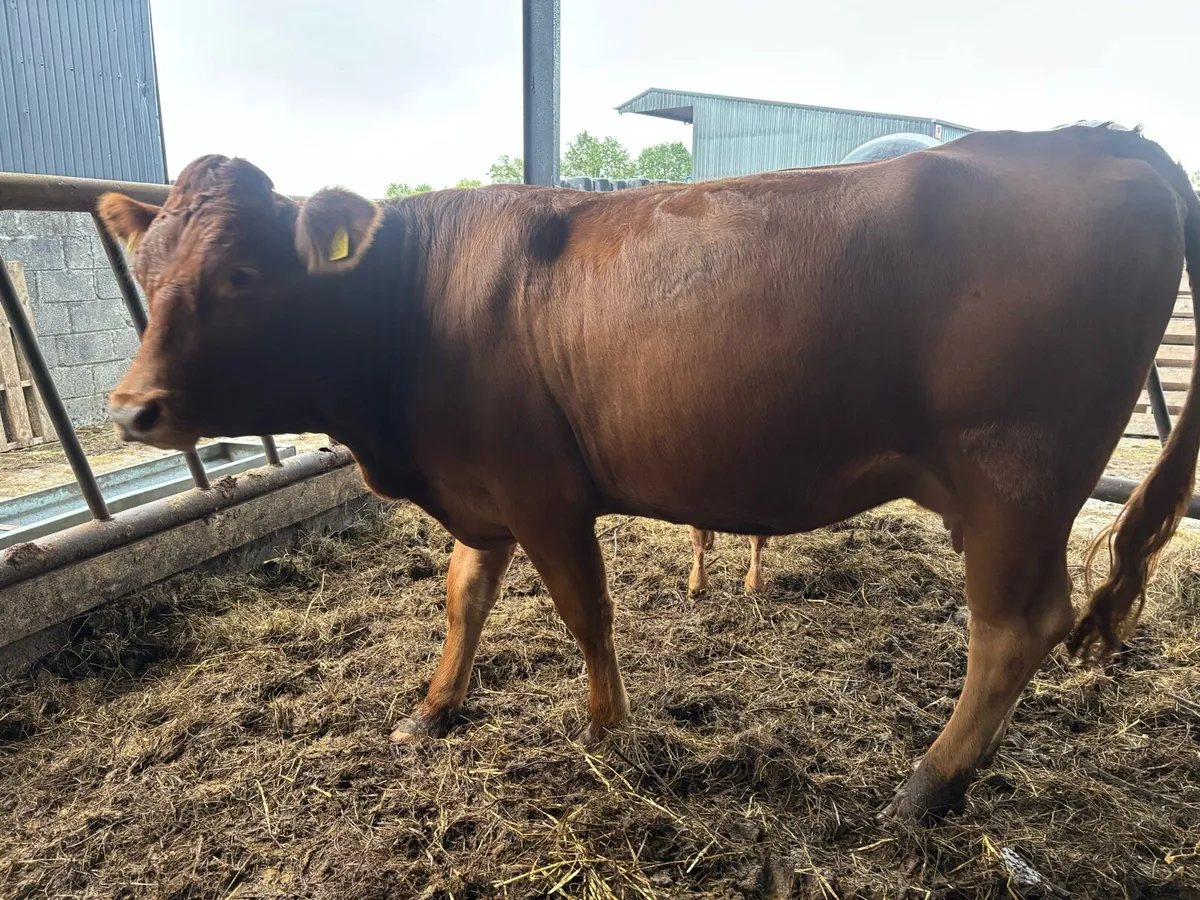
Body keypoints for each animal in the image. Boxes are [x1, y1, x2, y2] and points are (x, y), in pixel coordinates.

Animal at [97, 123, 1198, 822]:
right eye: (146, 272)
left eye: (242, 274)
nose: (129, 407)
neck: (414, 305)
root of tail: (1101, 139)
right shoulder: (482, 491)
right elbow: (463, 597)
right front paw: (433, 709)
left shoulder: (542, 491)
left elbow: (586, 611)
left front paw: (608, 733)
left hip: (1017, 478)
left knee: (1016, 629)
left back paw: (927, 787)